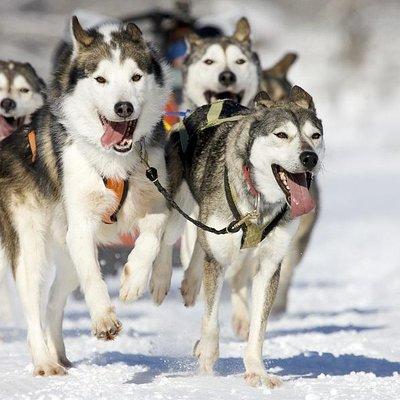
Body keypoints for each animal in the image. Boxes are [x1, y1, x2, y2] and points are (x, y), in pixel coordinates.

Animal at [0, 17, 170, 376]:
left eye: (135, 76)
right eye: (100, 79)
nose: (123, 107)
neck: (115, 162)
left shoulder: (156, 198)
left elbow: (152, 235)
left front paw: (134, 279)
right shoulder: (80, 227)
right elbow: (93, 277)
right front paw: (104, 319)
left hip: (66, 260)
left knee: (53, 302)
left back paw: (58, 352)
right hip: (33, 247)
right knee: (34, 306)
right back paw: (44, 360)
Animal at [155, 88, 324, 388]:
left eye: (315, 135)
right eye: (282, 135)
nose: (309, 157)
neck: (259, 203)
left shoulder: (268, 267)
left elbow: (258, 328)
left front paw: (256, 371)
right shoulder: (219, 259)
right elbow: (211, 321)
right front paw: (207, 361)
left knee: (200, 247)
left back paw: (190, 283)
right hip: (179, 205)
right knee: (168, 236)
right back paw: (160, 280)